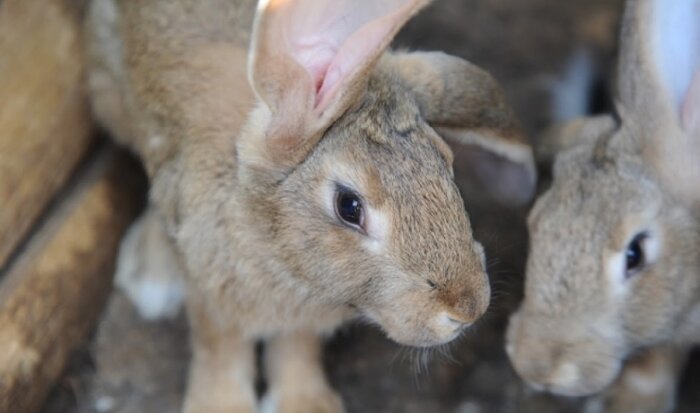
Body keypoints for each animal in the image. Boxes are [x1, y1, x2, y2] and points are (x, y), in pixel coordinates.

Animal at [86, 1, 536, 410]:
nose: (468, 309)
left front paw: (306, 403)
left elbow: (296, 347)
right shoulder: (211, 289)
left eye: (447, 160)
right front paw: (219, 405)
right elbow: (220, 349)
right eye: (349, 206)